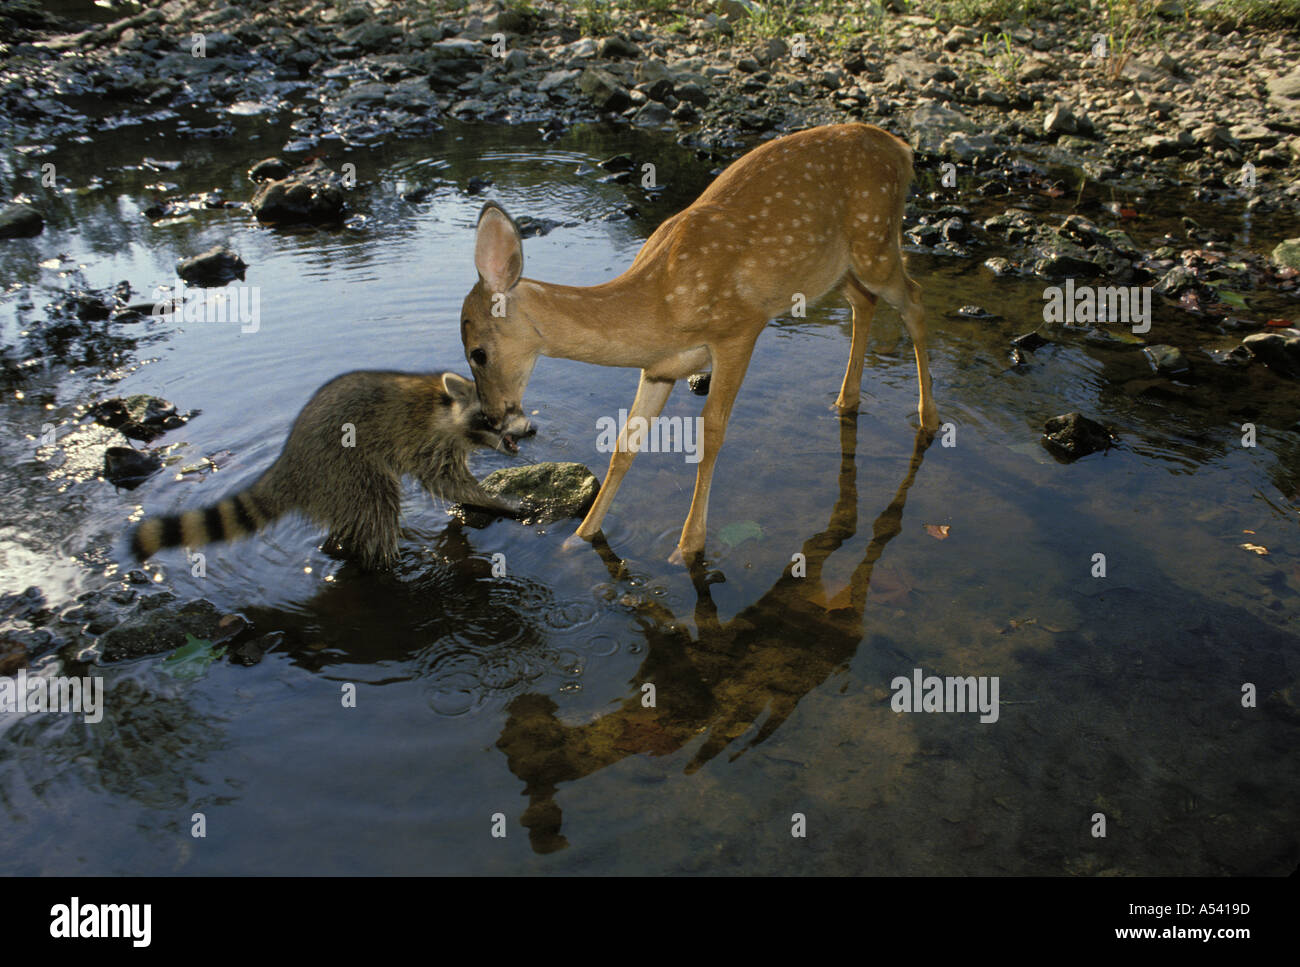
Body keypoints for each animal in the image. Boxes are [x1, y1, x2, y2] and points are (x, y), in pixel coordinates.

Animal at [130, 370, 534, 570]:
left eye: (515, 407)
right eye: (497, 415)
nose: (531, 430)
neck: (447, 406)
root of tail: (290, 463)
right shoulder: (428, 440)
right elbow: (445, 480)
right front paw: (494, 500)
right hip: (343, 467)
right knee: (376, 504)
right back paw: (382, 557)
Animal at [459, 122, 937, 565]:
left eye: (477, 352)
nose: (494, 417)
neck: (659, 306)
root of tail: (900, 148)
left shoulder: (739, 330)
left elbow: (711, 434)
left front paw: (688, 547)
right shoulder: (658, 368)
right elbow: (624, 445)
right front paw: (579, 536)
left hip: (874, 238)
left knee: (914, 300)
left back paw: (927, 418)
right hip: (834, 267)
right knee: (864, 301)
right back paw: (846, 400)